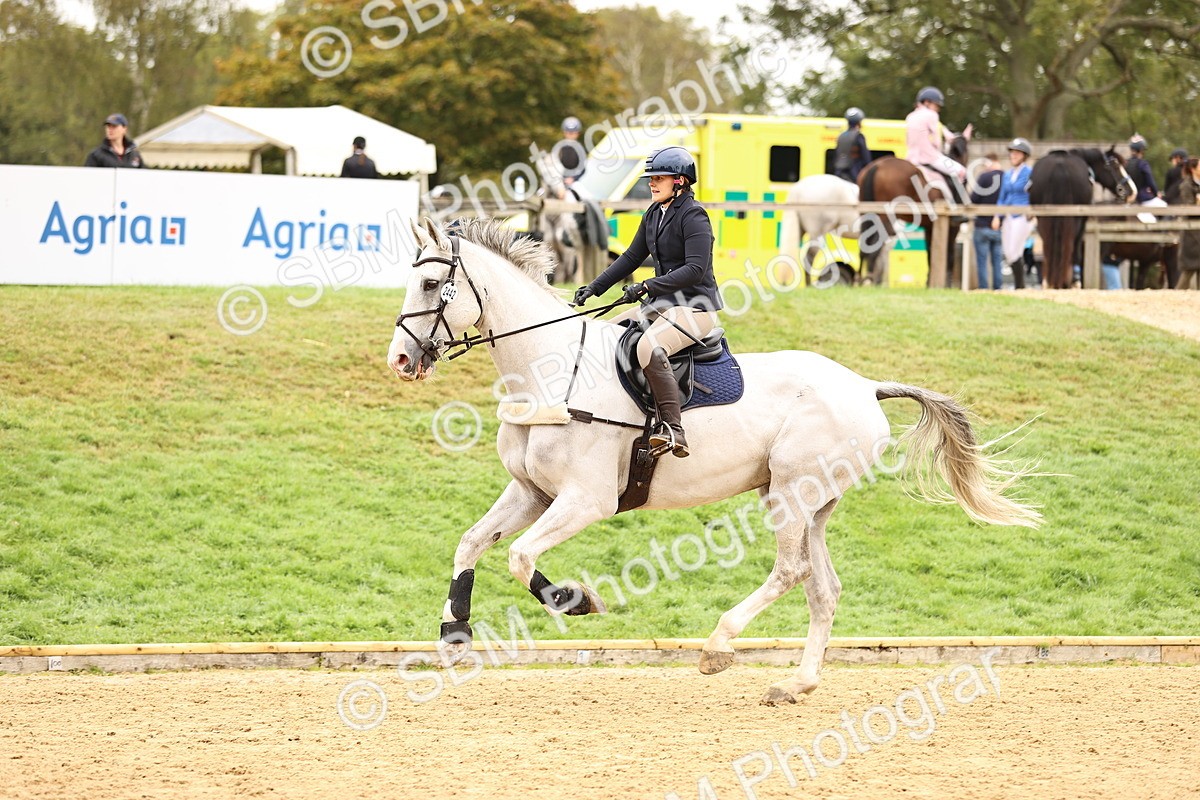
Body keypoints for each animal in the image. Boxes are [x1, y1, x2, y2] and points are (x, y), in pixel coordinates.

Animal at [387, 217, 1041, 706]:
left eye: (431, 286)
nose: (399, 360)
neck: (551, 368)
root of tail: (865, 386)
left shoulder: (584, 500)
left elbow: (521, 557)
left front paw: (576, 600)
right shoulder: (532, 493)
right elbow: (472, 542)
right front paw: (454, 631)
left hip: (791, 493)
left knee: (791, 572)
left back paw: (718, 648)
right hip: (812, 501)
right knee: (823, 587)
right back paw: (797, 684)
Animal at [856, 135, 970, 287]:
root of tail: (877, 165)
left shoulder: (930, 227)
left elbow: (930, 253)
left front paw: (929, 283)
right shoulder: (952, 228)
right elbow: (949, 255)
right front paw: (946, 285)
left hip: (866, 214)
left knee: (865, 246)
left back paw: (859, 279)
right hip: (885, 217)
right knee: (874, 247)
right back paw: (870, 280)